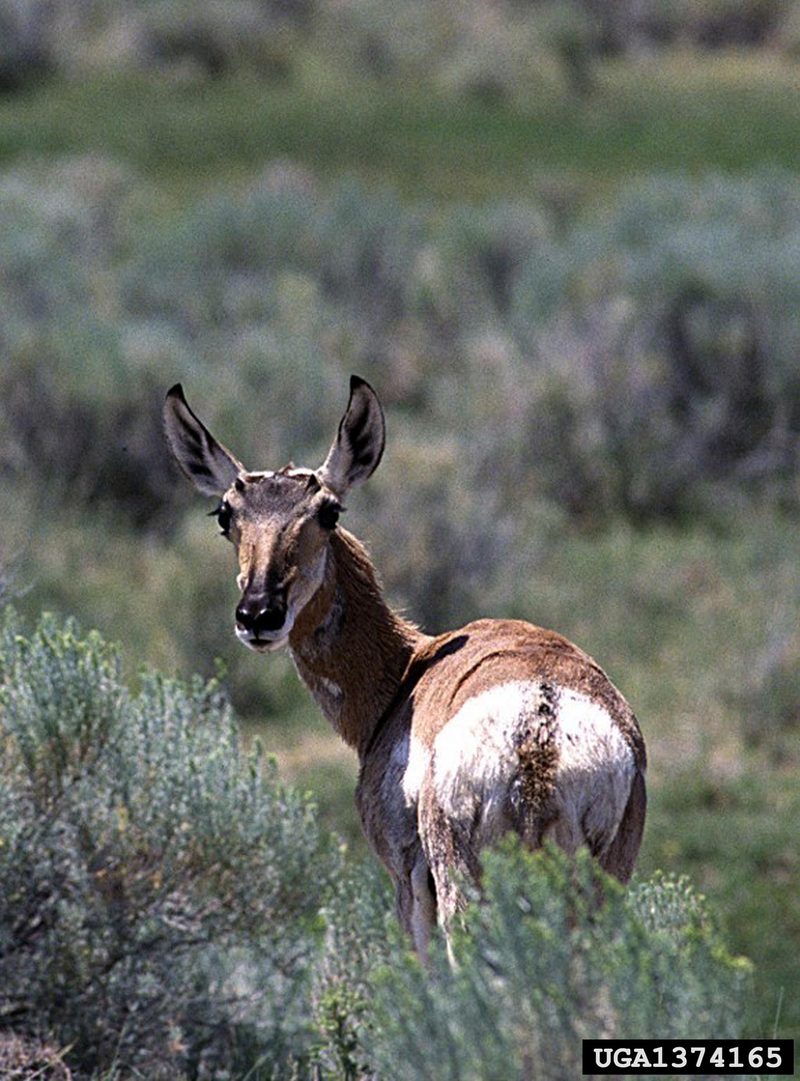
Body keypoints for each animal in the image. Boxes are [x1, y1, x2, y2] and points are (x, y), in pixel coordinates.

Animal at [162, 376, 644, 951]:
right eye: (226, 514)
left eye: (329, 511)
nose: (258, 614)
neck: (408, 670)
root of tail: (540, 723)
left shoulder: (407, 879)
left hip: (464, 890)